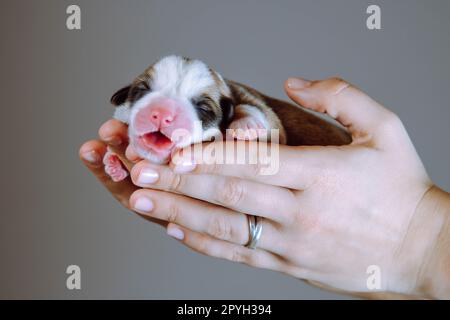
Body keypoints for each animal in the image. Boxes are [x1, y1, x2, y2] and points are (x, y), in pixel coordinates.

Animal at [103, 54, 350, 180]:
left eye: (203, 108)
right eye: (141, 90)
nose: (162, 114)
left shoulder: (265, 115)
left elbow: (254, 108)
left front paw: (247, 125)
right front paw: (112, 162)